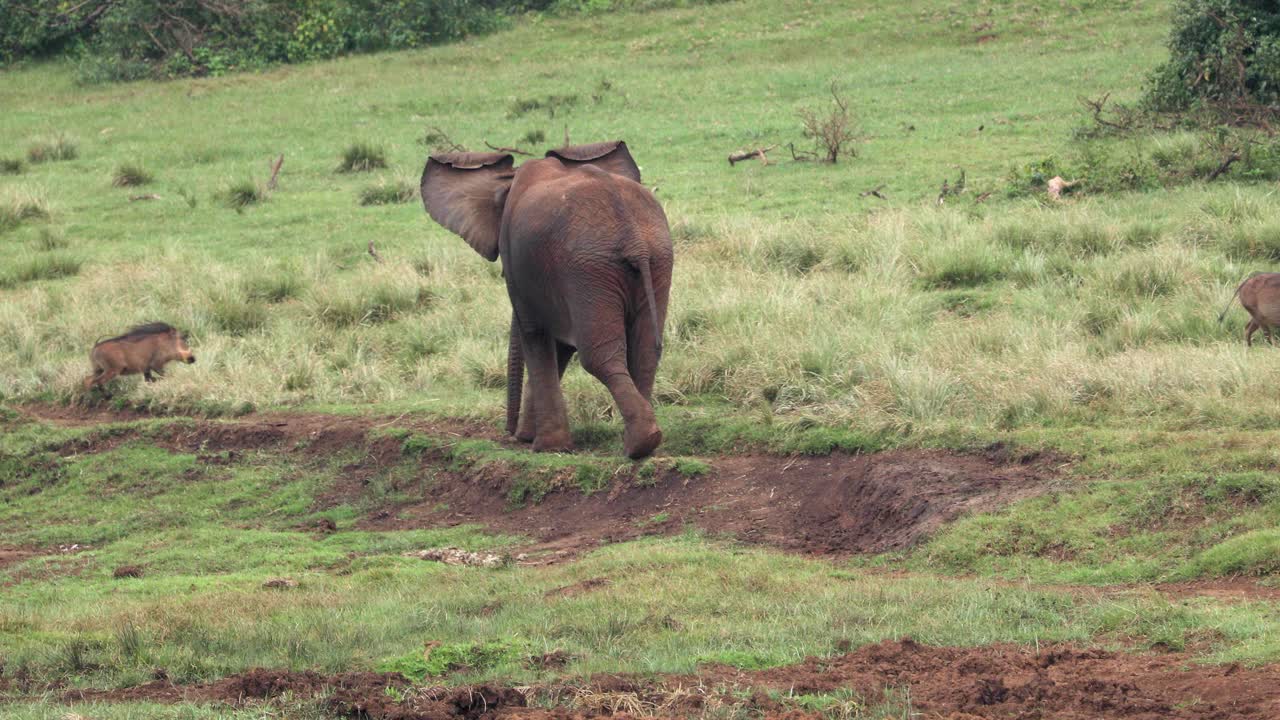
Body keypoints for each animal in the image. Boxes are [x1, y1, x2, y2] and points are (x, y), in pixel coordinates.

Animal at [422, 140, 680, 456]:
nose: (511, 434)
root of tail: (631, 233)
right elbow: (559, 345)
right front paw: (538, 440)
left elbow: (535, 334)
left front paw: (546, 447)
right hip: (654, 259)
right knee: (644, 352)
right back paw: (644, 441)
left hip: (588, 268)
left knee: (599, 357)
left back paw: (638, 445)